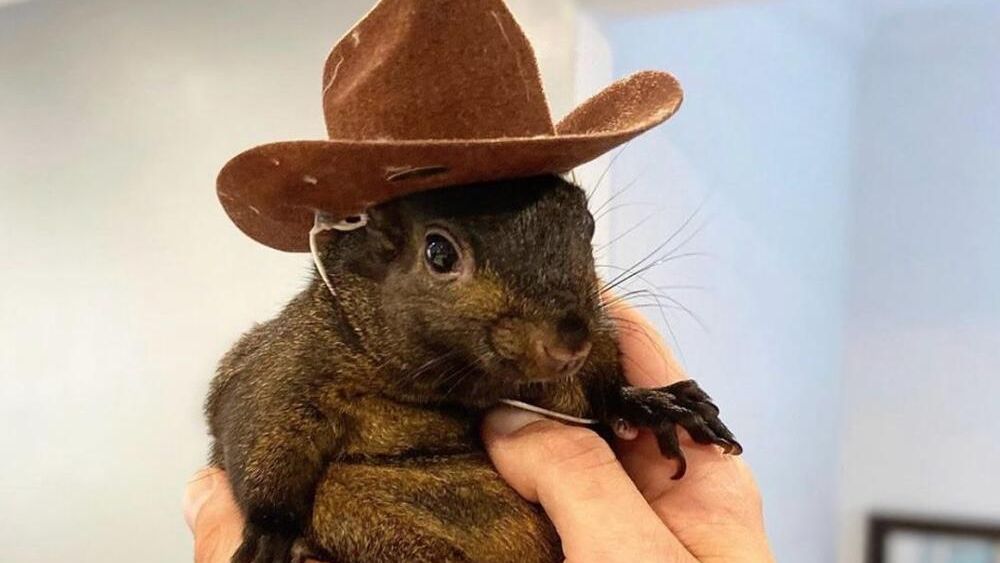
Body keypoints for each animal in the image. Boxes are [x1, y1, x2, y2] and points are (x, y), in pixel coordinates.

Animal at [205, 174, 742, 563]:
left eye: (587, 224)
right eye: (439, 253)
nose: (571, 341)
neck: (455, 386)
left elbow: (602, 391)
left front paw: (655, 403)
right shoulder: (287, 364)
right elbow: (258, 432)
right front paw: (271, 538)